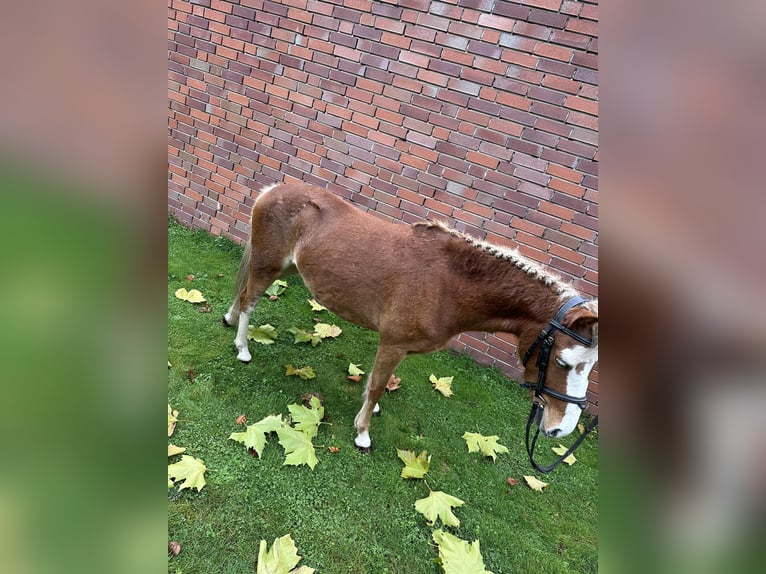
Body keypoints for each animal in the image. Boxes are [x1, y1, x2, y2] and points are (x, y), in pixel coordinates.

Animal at [224, 184, 600, 464]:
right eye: (563, 362)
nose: (562, 429)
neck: (449, 283)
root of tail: (273, 190)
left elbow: (376, 383)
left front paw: (370, 410)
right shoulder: (393, 343)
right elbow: (378, 384)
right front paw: (362, 433)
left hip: (286, 268)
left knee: (241, 295)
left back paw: (228, 320)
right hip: (268, 266)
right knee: (249, 301)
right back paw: (242, 349)